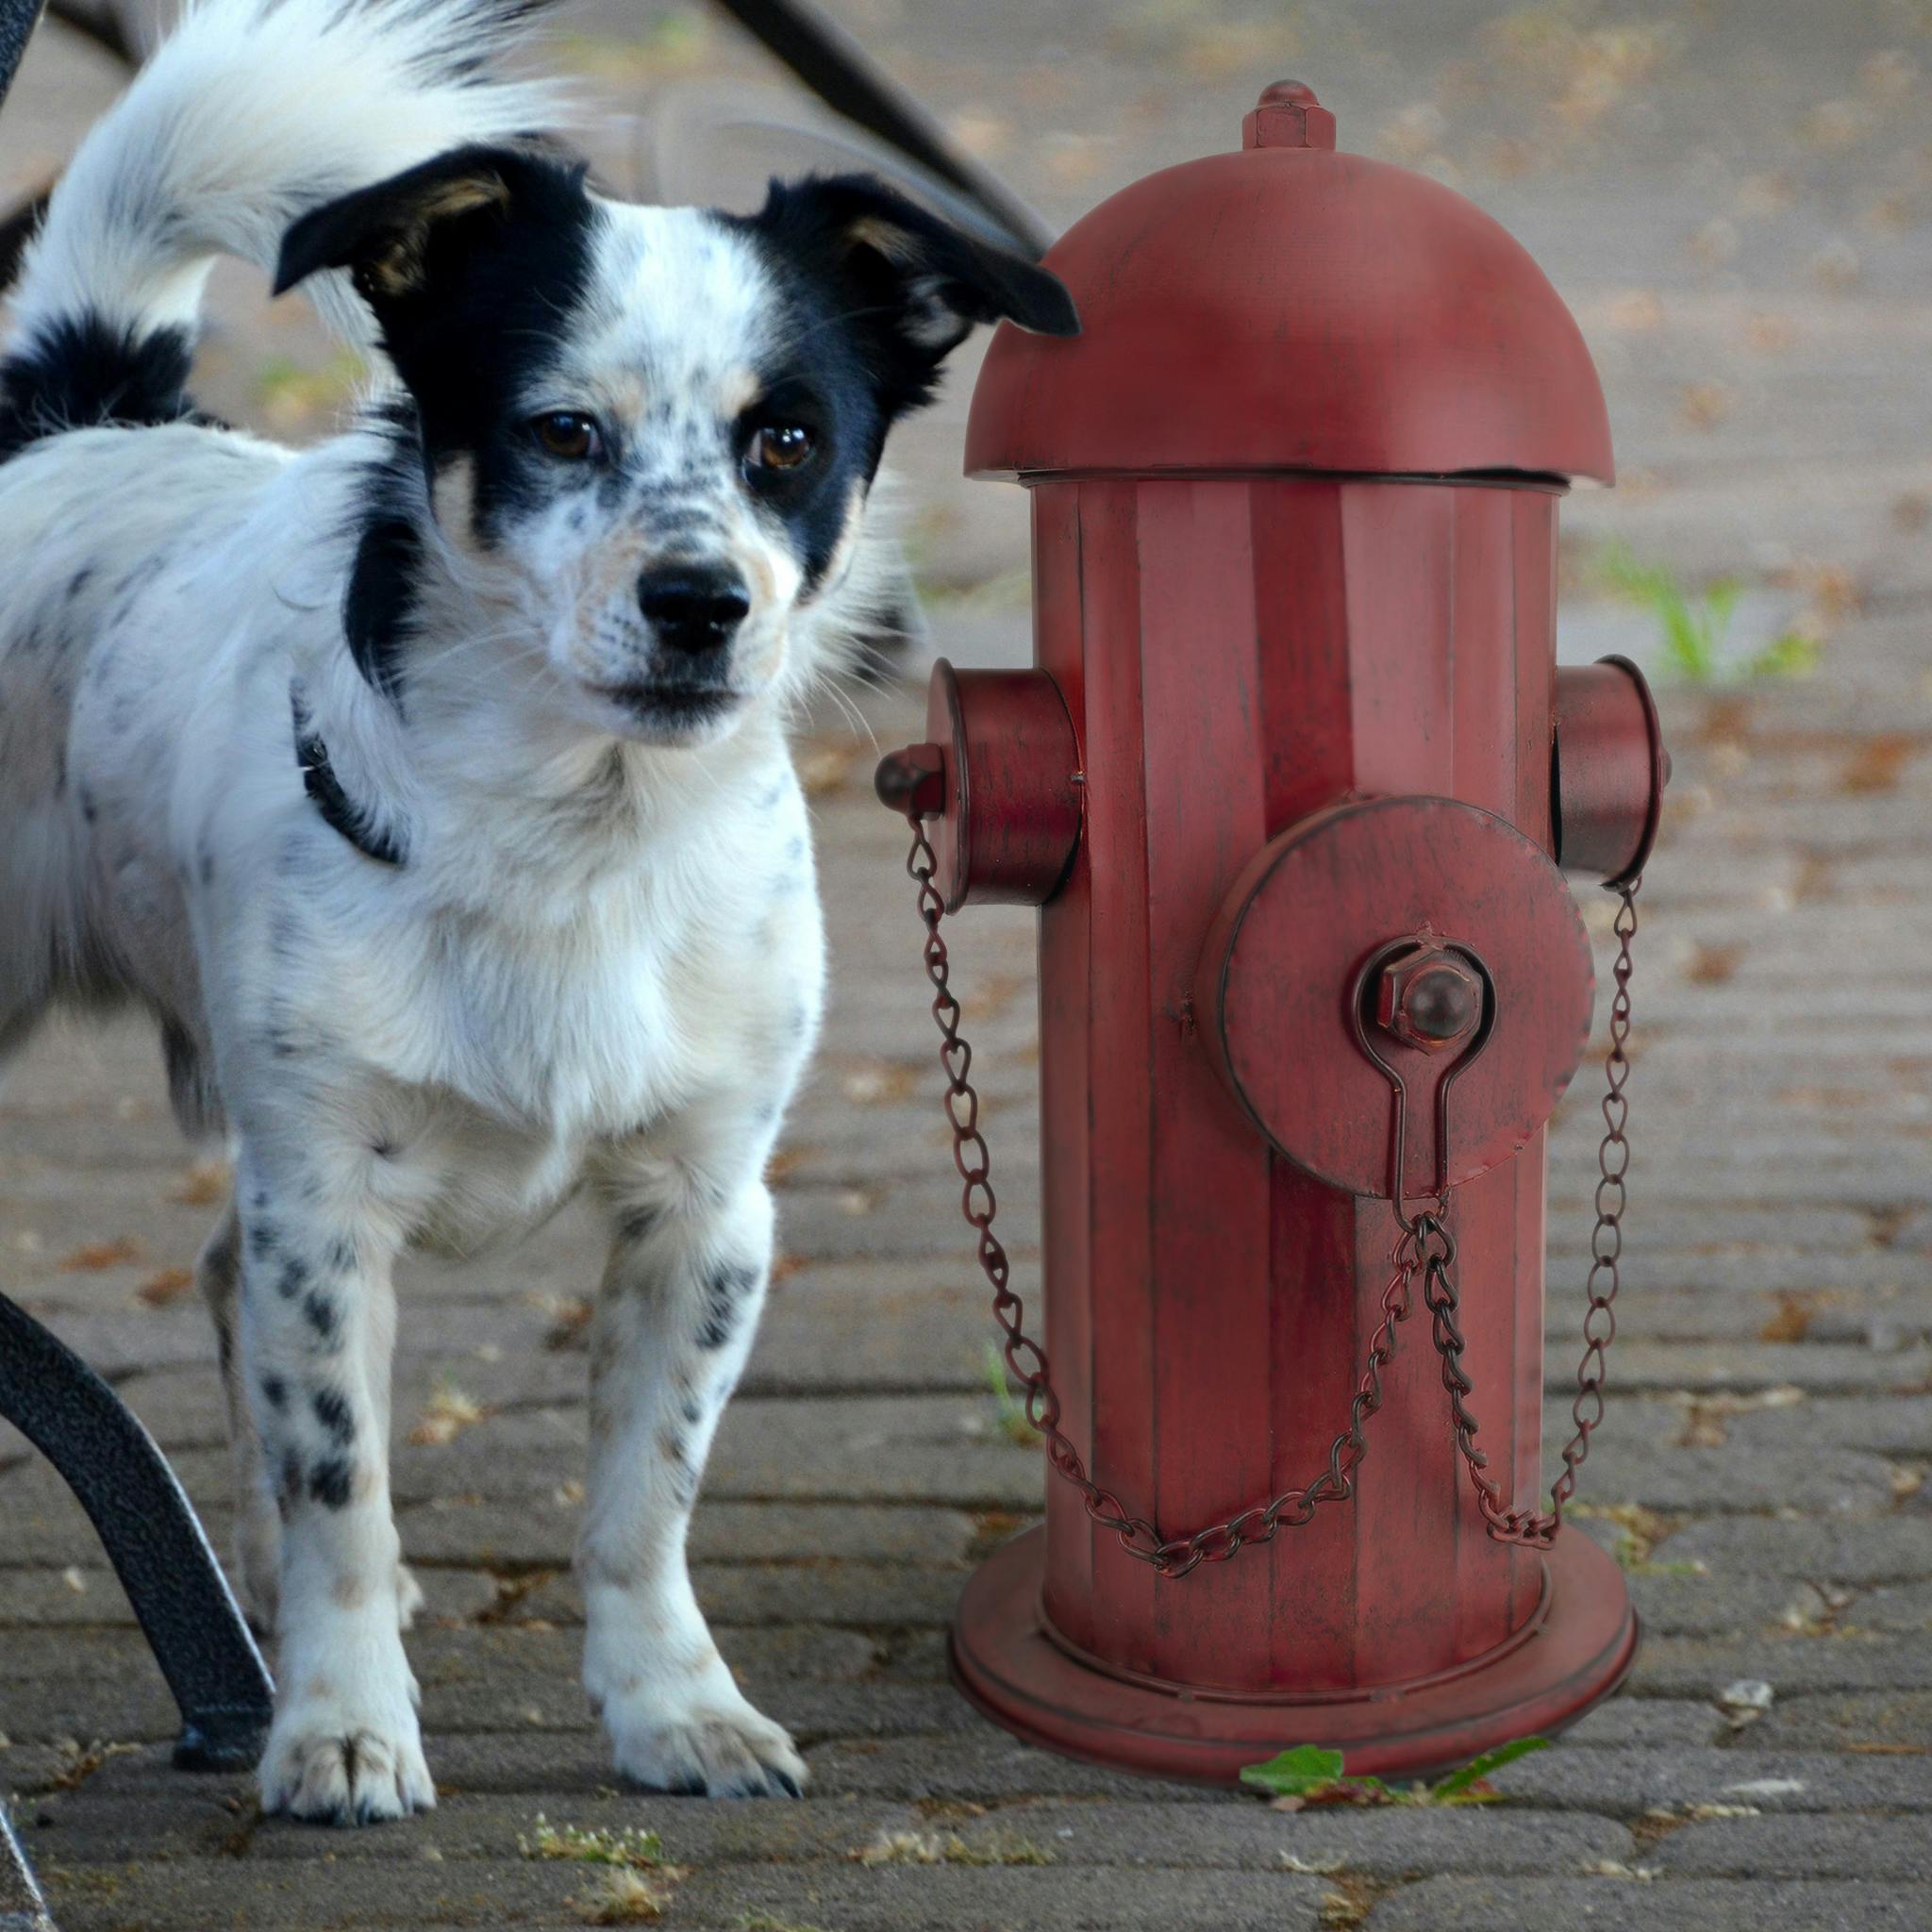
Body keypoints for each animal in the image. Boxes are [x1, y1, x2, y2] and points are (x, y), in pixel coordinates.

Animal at [0, 0, 1074, 1824]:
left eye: (790, 439)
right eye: (562, 431)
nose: (699, 601)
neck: (583, 839)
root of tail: (83, 421)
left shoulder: (705, 1217)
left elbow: (643, 1502)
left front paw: (673, 1710)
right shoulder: (327, 1207)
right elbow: (347, 1485)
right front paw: (341, 1723)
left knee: (218, 1279)